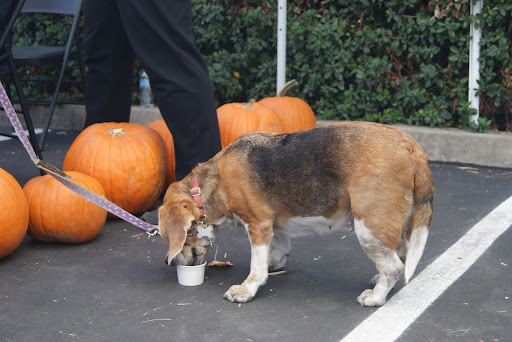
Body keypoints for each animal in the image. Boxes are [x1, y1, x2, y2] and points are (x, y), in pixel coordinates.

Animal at [158, 121, 434, 304]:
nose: (169, 262)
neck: (212, 183)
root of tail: (413, 149)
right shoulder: (273, 225)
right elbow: (279, 247)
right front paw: (274, 263)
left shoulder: (258, 225)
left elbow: (256, 265)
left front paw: (247, 288)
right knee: (399, 255)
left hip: (368, 228)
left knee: (395, 267)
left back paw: (376, 297)